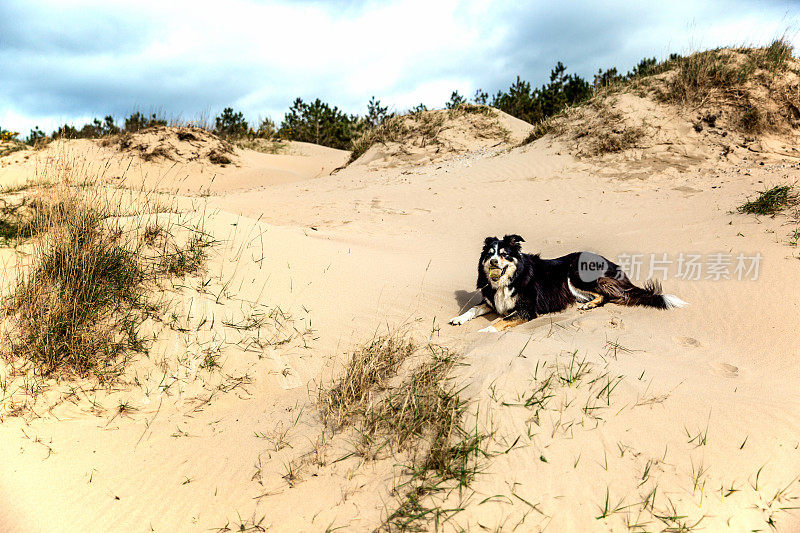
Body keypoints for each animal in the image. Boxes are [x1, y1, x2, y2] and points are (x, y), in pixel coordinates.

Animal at [450, 234, 688, 330]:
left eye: (505, 254)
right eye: (490, 254)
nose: (493, 262)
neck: (510, 280)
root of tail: (611, 263)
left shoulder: (527, 309)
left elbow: (501, 320)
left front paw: (485, 332)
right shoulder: (491, 302)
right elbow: (473, 309)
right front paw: (458, 319)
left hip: (575, 274)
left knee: (606, 295)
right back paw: (588, 305)